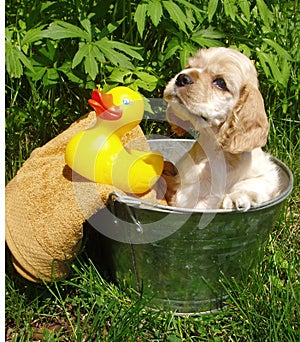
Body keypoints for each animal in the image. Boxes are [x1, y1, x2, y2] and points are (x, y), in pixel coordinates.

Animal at [163, 46, 282, 210]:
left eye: (221, 82)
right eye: (189, 66)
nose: (182, 78)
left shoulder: (269, 174)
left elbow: (254, 182)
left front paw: (236, 198)